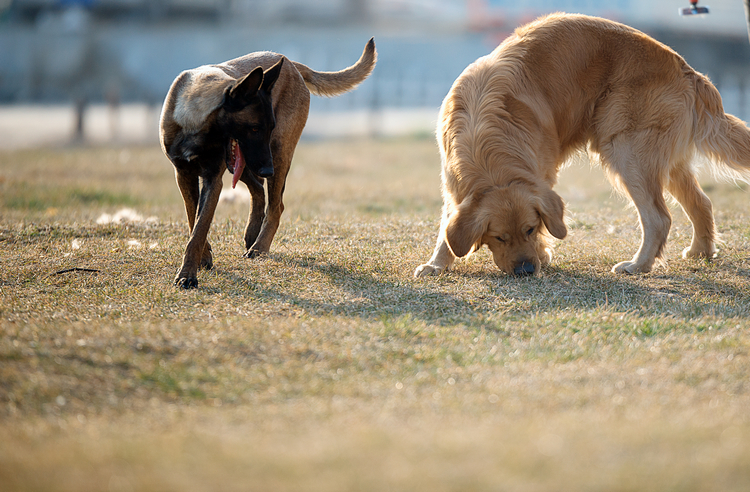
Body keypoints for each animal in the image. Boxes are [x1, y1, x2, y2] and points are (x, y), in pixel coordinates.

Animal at [162, 41, 378, 288]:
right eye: (254, 128)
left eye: (269, 127)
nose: (268, 170)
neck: (195, 119)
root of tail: (292, 65)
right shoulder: (183, 175)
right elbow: (194, 221)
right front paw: (202, 258)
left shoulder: (213, 179)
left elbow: (200, 227)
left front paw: (187, 274)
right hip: (249, 164)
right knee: (258, 189)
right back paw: (252, 232)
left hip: (277, 153)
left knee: (275, 205)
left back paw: (259, 247)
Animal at [414, 13, 750, 276]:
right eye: (499, 237)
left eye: (530, 229)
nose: (527, 270)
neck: (486, 142)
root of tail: (687, 69)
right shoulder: (452, 183)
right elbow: (446, 227)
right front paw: (437, 264)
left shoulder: (543, 175)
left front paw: (543, 252)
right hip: (664, 161)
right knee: (701, 203)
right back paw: (701, 252)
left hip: (625, 150)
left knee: (659, 218)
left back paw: (638, 265)